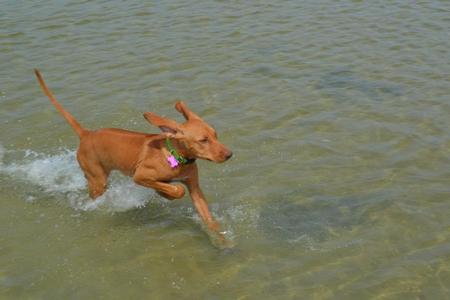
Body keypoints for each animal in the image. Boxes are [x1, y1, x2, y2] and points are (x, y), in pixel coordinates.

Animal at [34, 69, 232, 241]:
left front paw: (221, 240)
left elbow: (208, 218)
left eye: (215, 135)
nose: (229, 154)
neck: (176, 157)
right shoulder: (140, 176)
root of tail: (87, 134)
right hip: (98, 181)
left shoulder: (194, 188)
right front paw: (167, 193)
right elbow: (177, 189)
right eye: (203, 140)